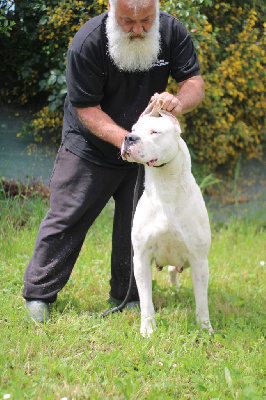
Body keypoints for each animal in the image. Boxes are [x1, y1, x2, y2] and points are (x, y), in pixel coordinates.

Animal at [121, 98, 213, 336]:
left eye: (155, 132)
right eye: (133, 129)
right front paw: (147, 329)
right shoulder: (141, 258)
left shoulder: (199, 260)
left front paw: (205, 328)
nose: (129, 138)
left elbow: (202, 301)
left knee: (176, 270)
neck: (165, 188)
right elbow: (146, 299)